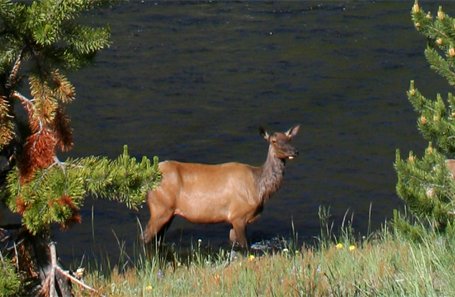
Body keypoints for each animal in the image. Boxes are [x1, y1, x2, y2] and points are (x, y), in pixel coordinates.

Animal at [142, 125, 300, 247]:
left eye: (289, 139)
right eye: (274, 141)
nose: (295, 151)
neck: (259, 188)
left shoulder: (236, 219)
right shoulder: (238, 215)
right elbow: (245, 246)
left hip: (169, 212)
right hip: (160, 207)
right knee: (145, 236)